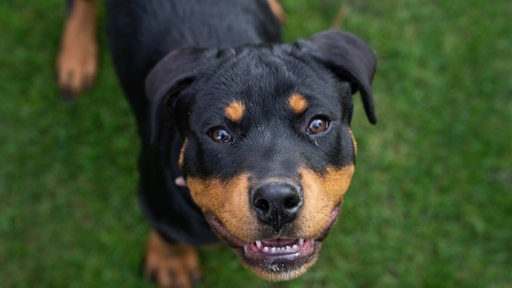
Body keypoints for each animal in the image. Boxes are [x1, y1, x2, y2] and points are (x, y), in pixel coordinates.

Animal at [57, 1, 376, 286]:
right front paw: (171, 262)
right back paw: (76, 58)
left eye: (317, 124)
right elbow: (168, 234)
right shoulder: (156, 200)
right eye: (220, 134)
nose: (276, 201)